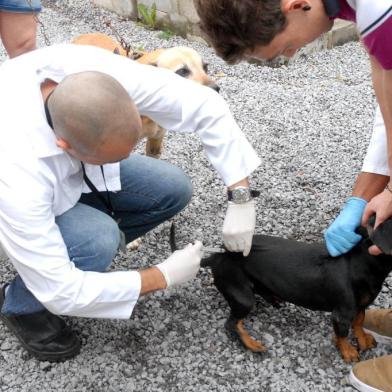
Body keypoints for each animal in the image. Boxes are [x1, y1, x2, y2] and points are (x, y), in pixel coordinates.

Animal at [170, 216, 392, 362]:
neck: (361, 260)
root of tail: (218, 255)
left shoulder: (361, 306)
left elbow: (359, 321)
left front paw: (363, 339)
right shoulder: (342, 312)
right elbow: (343, 334)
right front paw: (348, 352)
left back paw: (273, 298)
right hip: (243, 297)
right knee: (232, 324)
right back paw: (251, 344)